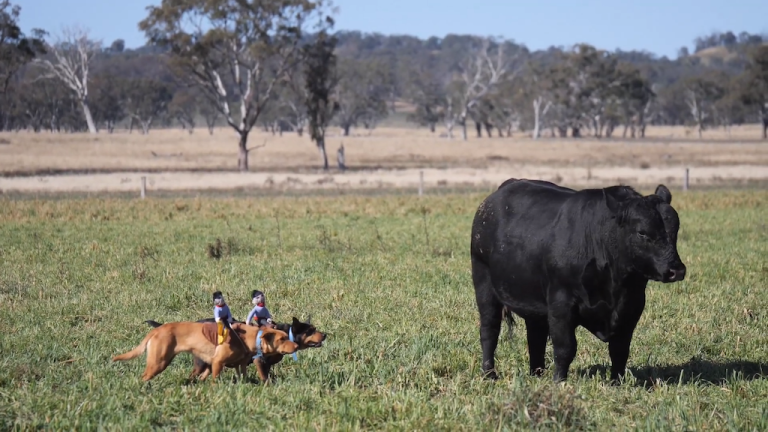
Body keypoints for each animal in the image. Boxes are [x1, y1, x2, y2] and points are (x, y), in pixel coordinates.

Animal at [112, 320, 298, 382]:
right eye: (282, 339)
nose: (296, 346)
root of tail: (157, 329)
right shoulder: (217, 362)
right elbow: (215, 380)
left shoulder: (241, 365)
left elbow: (243, 375)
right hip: (159, 362)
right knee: (143, 377)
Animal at [472, 179, 688, 382]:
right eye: (642, 232)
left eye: (675, 229)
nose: (676, 270)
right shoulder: (561, 304)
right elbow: (565, 348)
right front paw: (559, 382)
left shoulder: (632, 306)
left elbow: (620, 350)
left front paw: (616, 383)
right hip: (484, 285)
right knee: (489, 331)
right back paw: (489, 374)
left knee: (535, 337)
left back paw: (537, 374)